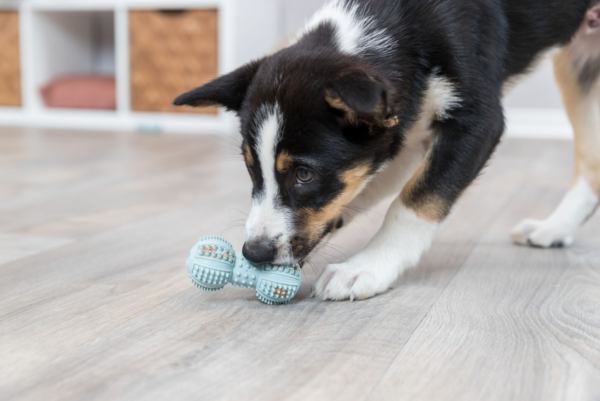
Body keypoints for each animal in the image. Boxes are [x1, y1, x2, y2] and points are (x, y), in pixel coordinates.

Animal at [175, 0, 600, 300]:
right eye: (252, 170)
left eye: (304, 174)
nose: (256, 253)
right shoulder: (404, 134)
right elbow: (363, 187)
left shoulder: (478, 121)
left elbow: (415, 201)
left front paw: (366, 268)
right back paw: (554, 228)